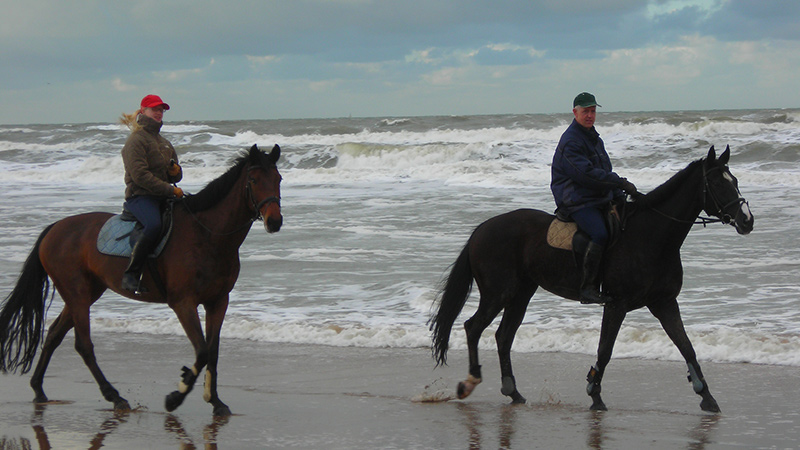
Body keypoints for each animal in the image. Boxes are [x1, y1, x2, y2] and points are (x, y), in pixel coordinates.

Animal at [0, 143, 282, 414]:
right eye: (254, 179)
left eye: (278, 178)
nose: (275, 221)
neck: (207, 235)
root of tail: (54, 228)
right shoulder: (183, 302)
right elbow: (201, 351)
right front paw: (176, 396)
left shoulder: (218, 301)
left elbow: (212, 352)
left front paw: (215, 401)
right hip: (76, 293)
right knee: (83, 345)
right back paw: (114, 396)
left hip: (86, 293)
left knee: (54, 334)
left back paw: (39, 389)